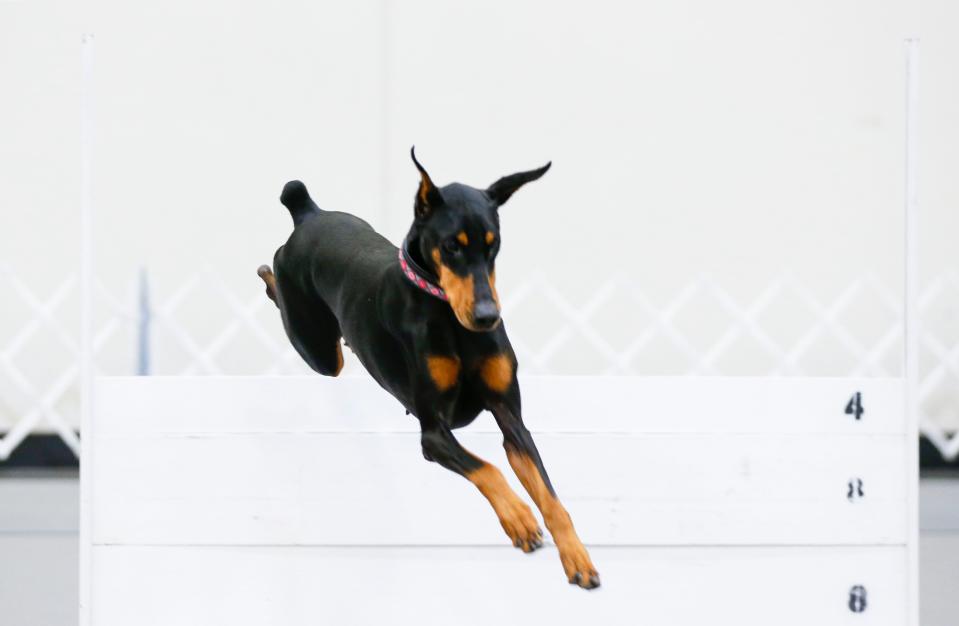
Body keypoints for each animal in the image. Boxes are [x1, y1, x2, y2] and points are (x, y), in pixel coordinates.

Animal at [255, 149, 600, 588]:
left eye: (494, 245)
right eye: (451, 245)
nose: (487, 317)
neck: (448, 315)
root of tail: (308, 213)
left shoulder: (511, 417)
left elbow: (550, 496)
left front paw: (577, 558)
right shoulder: (434, 431)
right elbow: (487, 468)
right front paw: (519, 519)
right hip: (318, 350)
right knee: (284, 299)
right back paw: (268, 276)